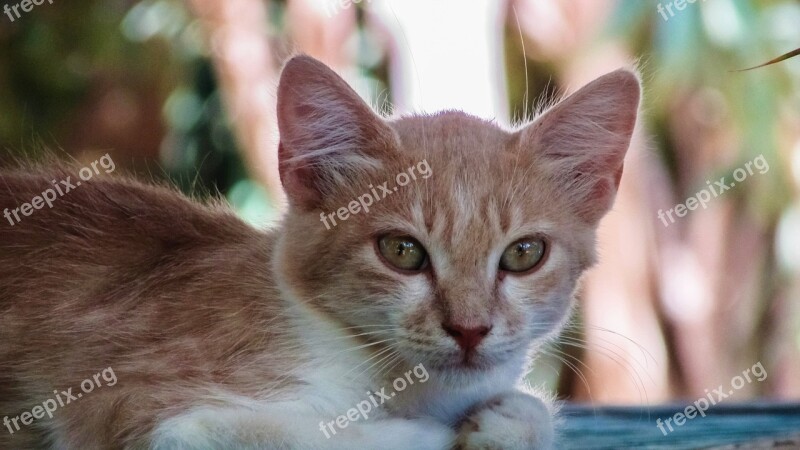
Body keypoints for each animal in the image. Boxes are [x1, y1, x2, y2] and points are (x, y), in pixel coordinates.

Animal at [0, 54, 636, 448]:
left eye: (524, 253)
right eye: (402, 251)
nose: (470, 329)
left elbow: (528, 413)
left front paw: (513, 418)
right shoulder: (124, 402)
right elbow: (293, 433)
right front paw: (427, 434)